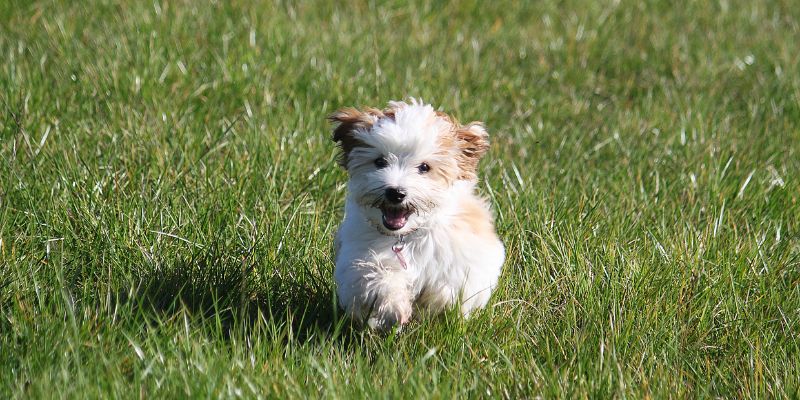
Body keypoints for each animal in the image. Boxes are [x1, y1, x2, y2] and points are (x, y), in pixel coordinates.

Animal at [328, 98, 504, 330]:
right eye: (380, 162)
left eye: (424, 167)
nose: (396, 192)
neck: (408, 236)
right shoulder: (359, 256)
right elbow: (377, 277)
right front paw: (395, 308)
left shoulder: (467, 259)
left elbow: (449, 288)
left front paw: (434, 303)